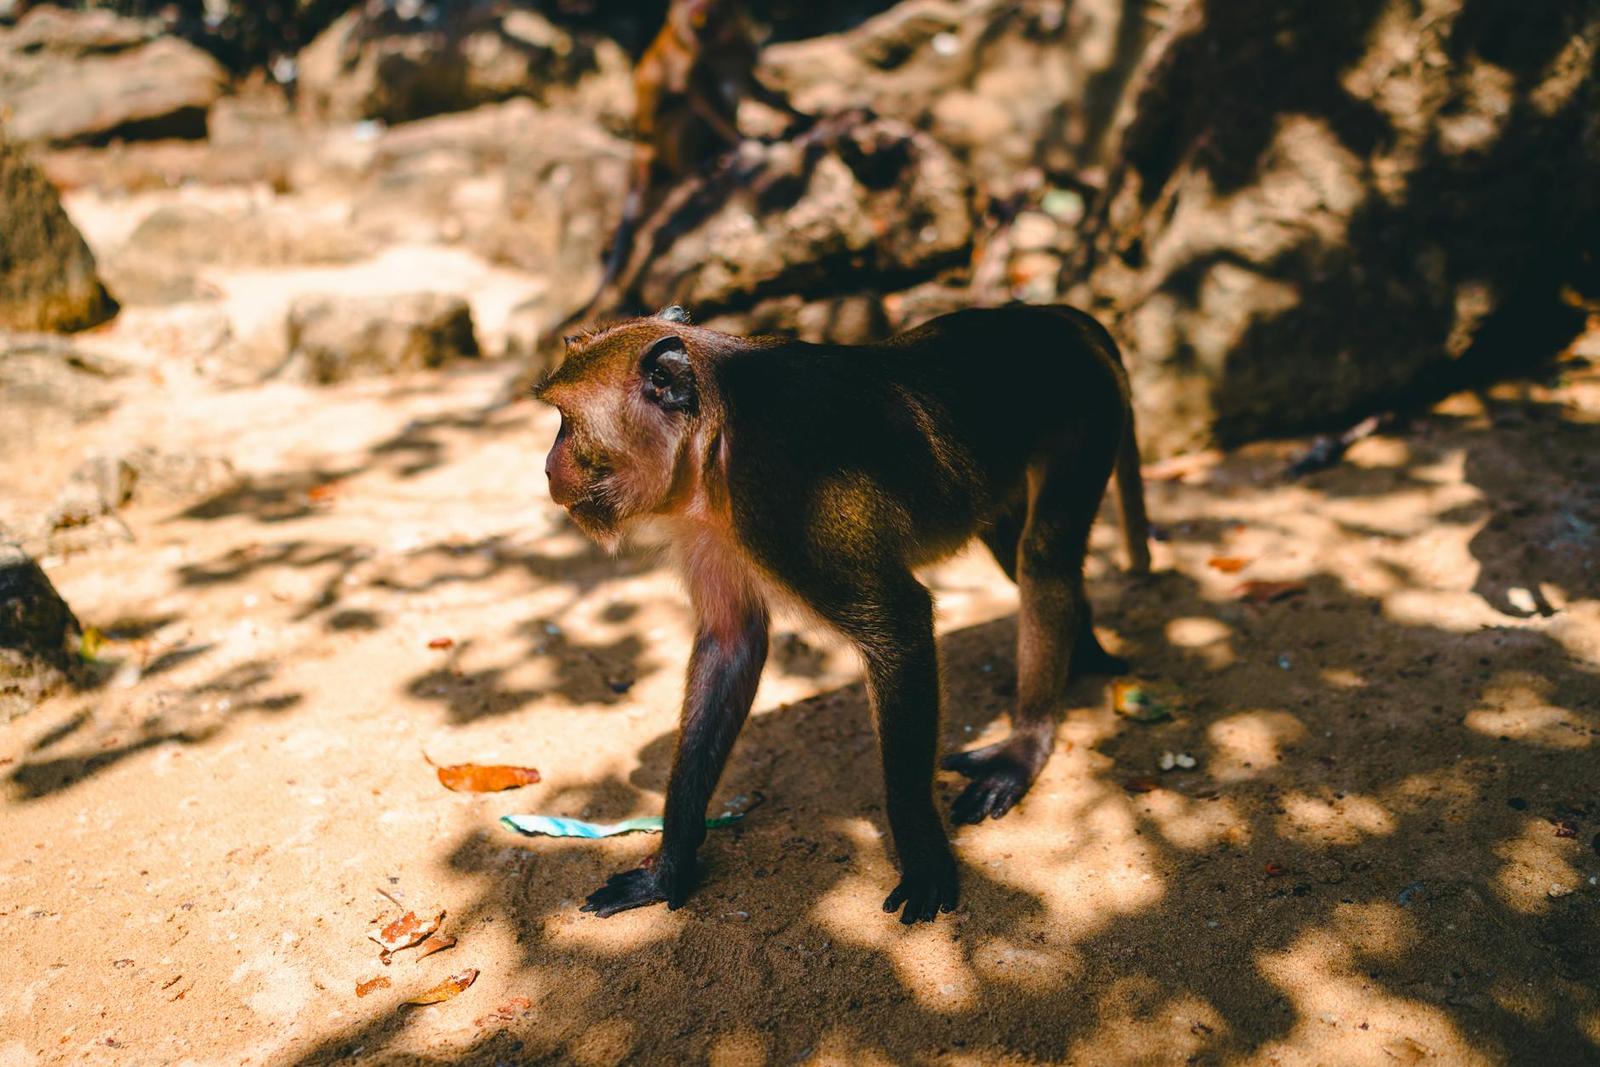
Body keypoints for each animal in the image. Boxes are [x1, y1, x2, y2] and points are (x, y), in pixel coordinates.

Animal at [535, 303, 1150, 924]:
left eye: (566, 421)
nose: (547, 466)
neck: (715, 435)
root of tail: (1056, 315)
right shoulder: (706, 523)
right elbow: (732, 644)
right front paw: (669, 869)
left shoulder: (783, 502)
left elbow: (899, 625)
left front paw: (923, 856)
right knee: (1013, 546)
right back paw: (1085, 655)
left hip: (1087, 410)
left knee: (1043, 556)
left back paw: (1026, 747)